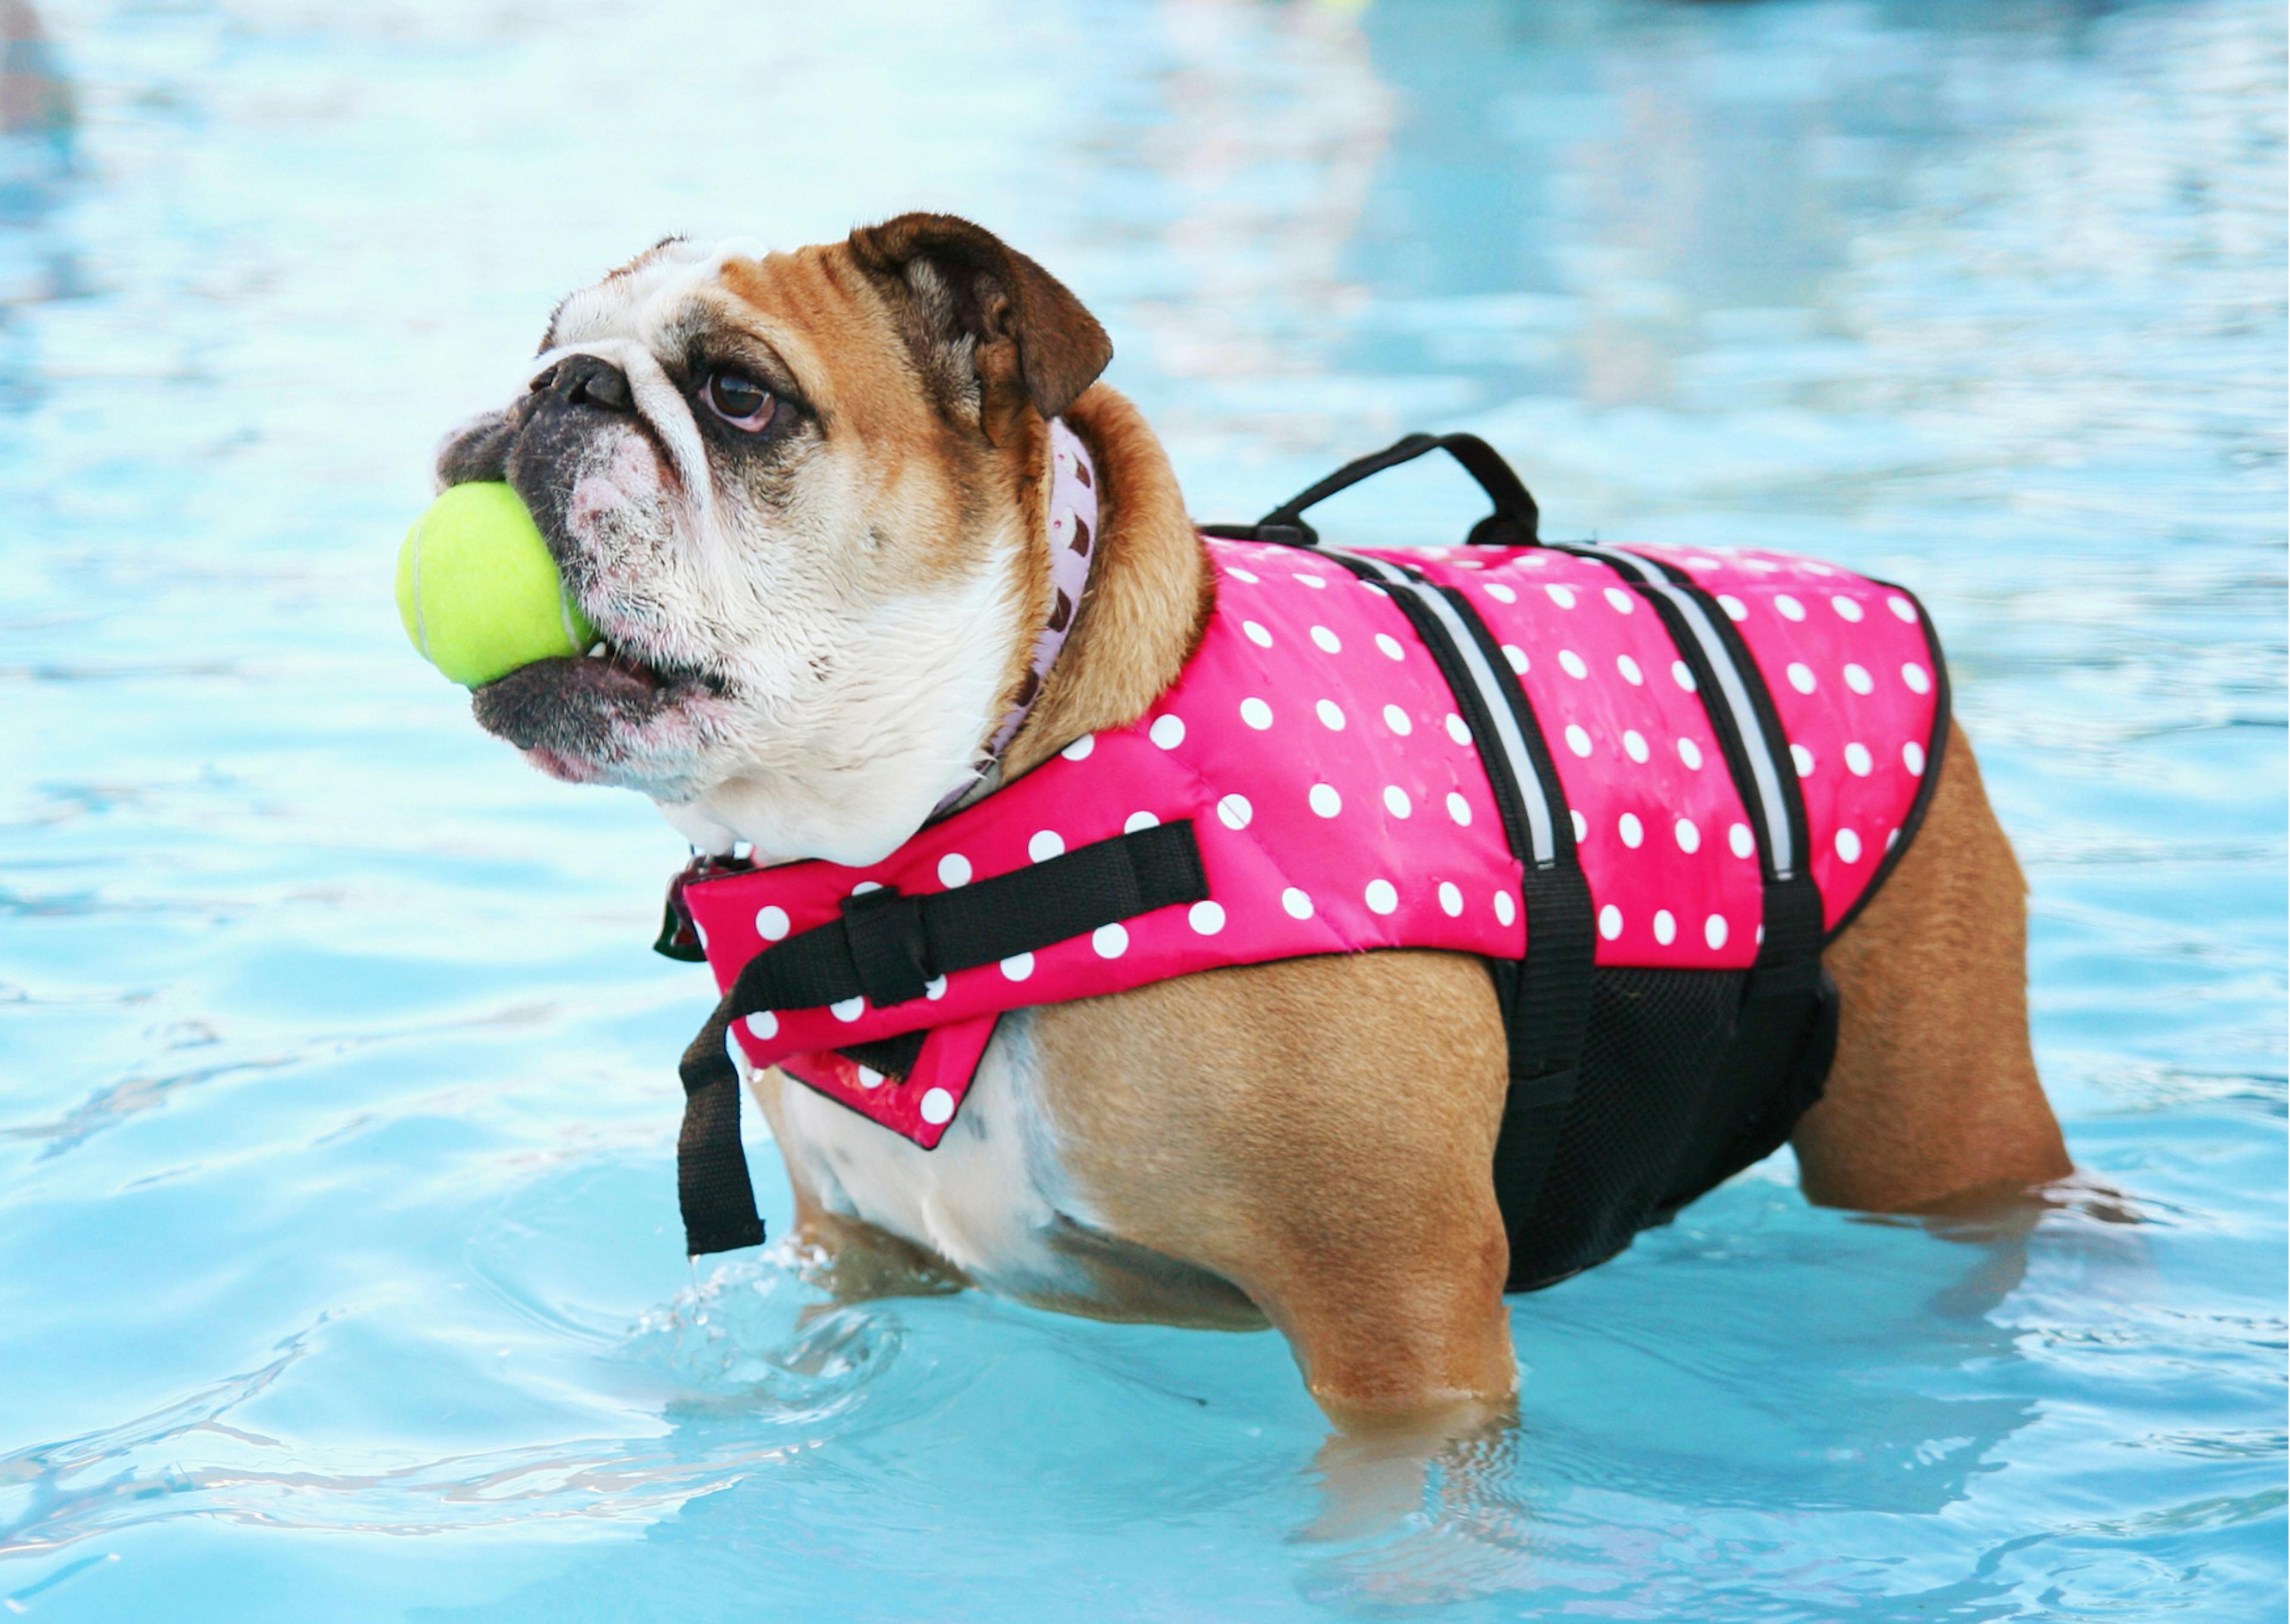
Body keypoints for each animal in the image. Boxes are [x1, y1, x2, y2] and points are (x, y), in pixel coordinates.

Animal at [432, 218, 2079, 1448]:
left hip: (1936, 1120)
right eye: (547, 345)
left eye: (739, 397)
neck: (923, 853)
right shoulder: (867, 1254)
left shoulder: (1403, 1332)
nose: (557, 391)